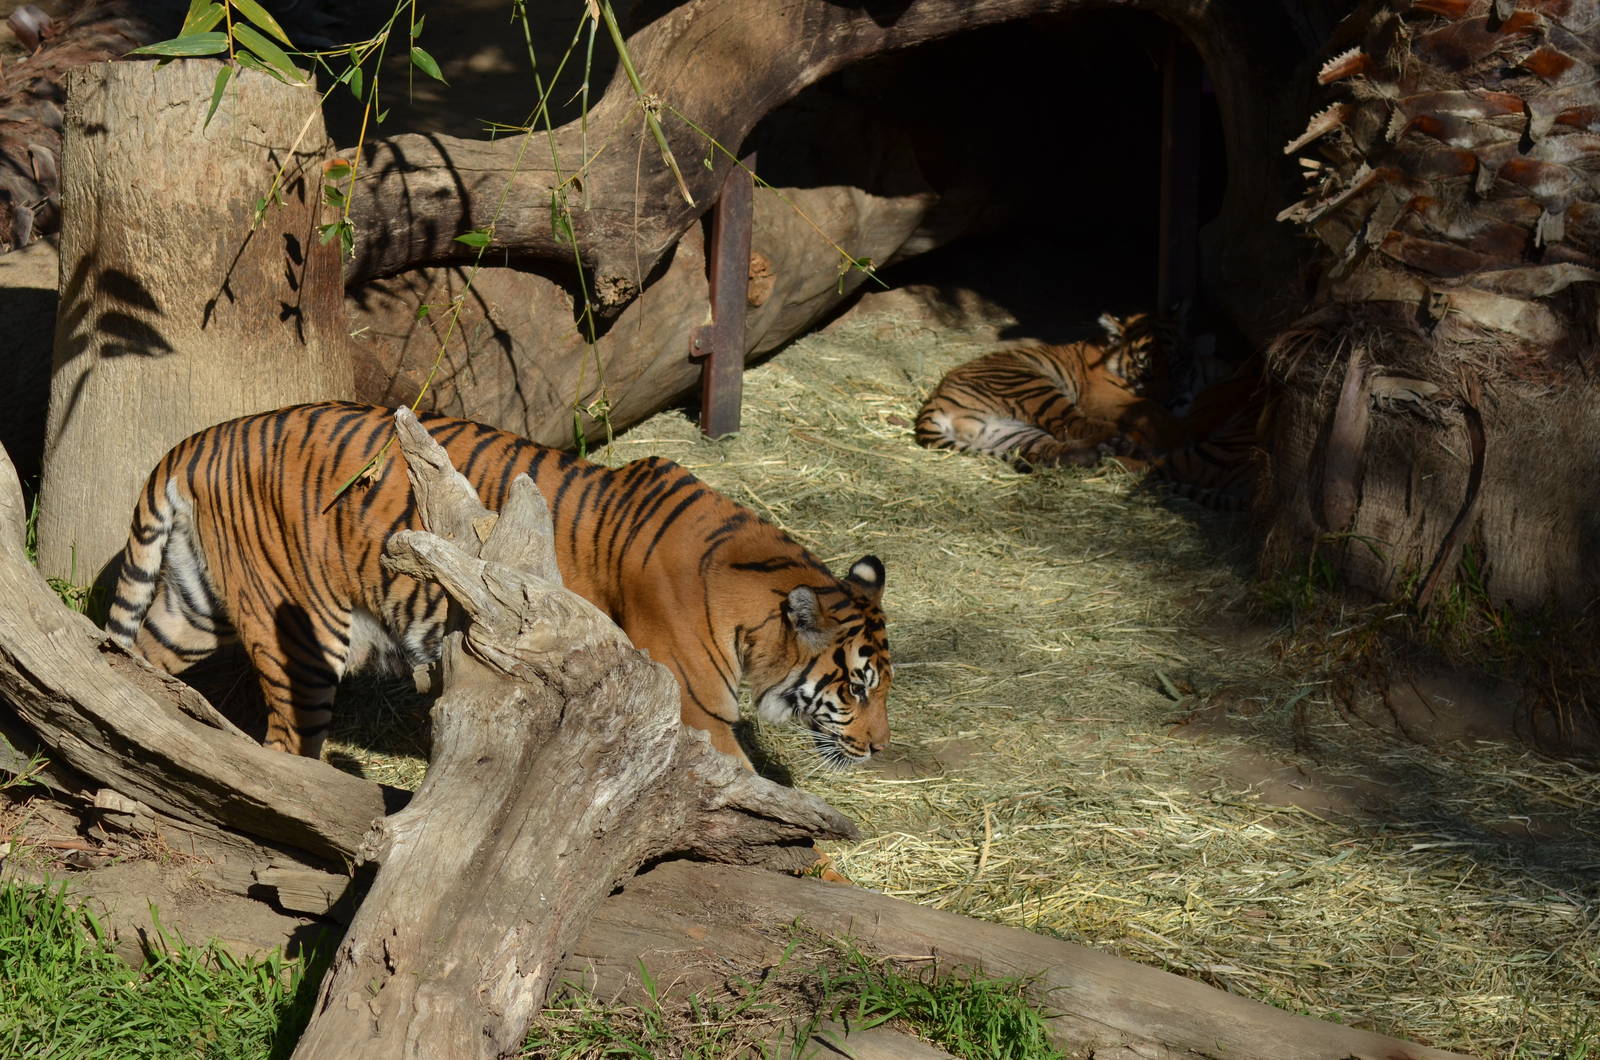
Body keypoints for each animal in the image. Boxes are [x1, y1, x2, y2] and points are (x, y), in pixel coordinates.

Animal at [104, 402, 892, 770]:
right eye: (855, 689)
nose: (881, 748)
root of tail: (198, 440)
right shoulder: (698, 717)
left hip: (191, 607)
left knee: (137, 664)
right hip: (300, 634)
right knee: (283, 743)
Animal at [913, 312, 1185, 470]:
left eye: (1174, 365)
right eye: (1145, 370)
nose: (1169, 397)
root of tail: (933, 404)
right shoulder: (1104, 397)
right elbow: (1150, 409)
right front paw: (1174, 432)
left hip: (1004, 431)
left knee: (1045, 449)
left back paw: (1092, 455)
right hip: (1032, 386)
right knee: (1074, 425)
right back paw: (1122, 443)